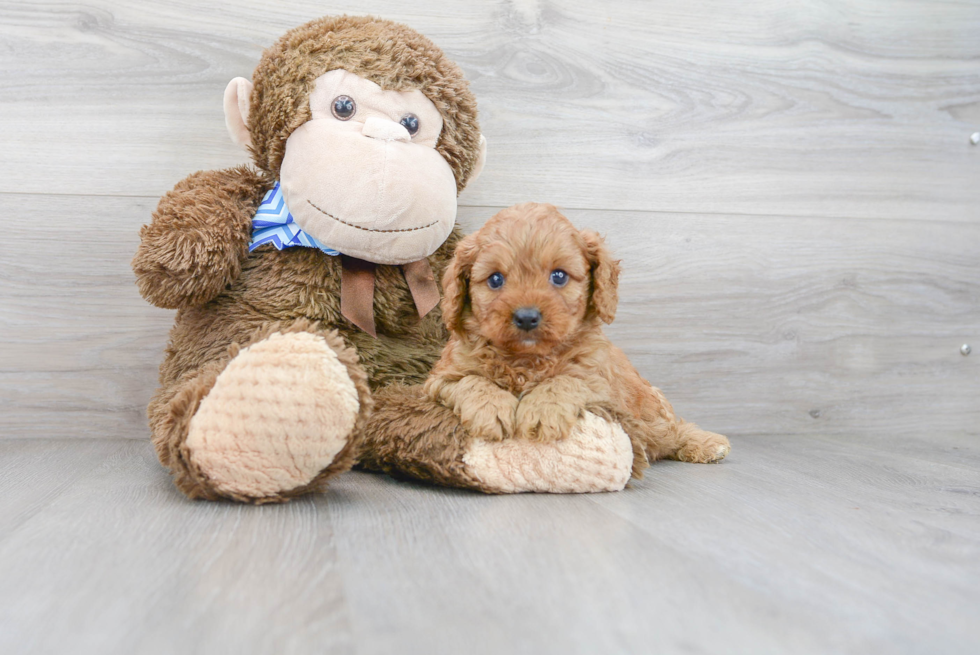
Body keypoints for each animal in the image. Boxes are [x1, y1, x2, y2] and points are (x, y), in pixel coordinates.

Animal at [424, 202, 732, 468]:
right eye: (495, 279)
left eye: (559, 276)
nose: (526, 317)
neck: (526, 358)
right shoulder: (439, 379)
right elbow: (471, 381)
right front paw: (490, 409)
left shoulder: (600, 381)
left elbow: (566, 380)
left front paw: (543, 410)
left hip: (651, 412)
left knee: (672, 430)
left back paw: (706, 444)